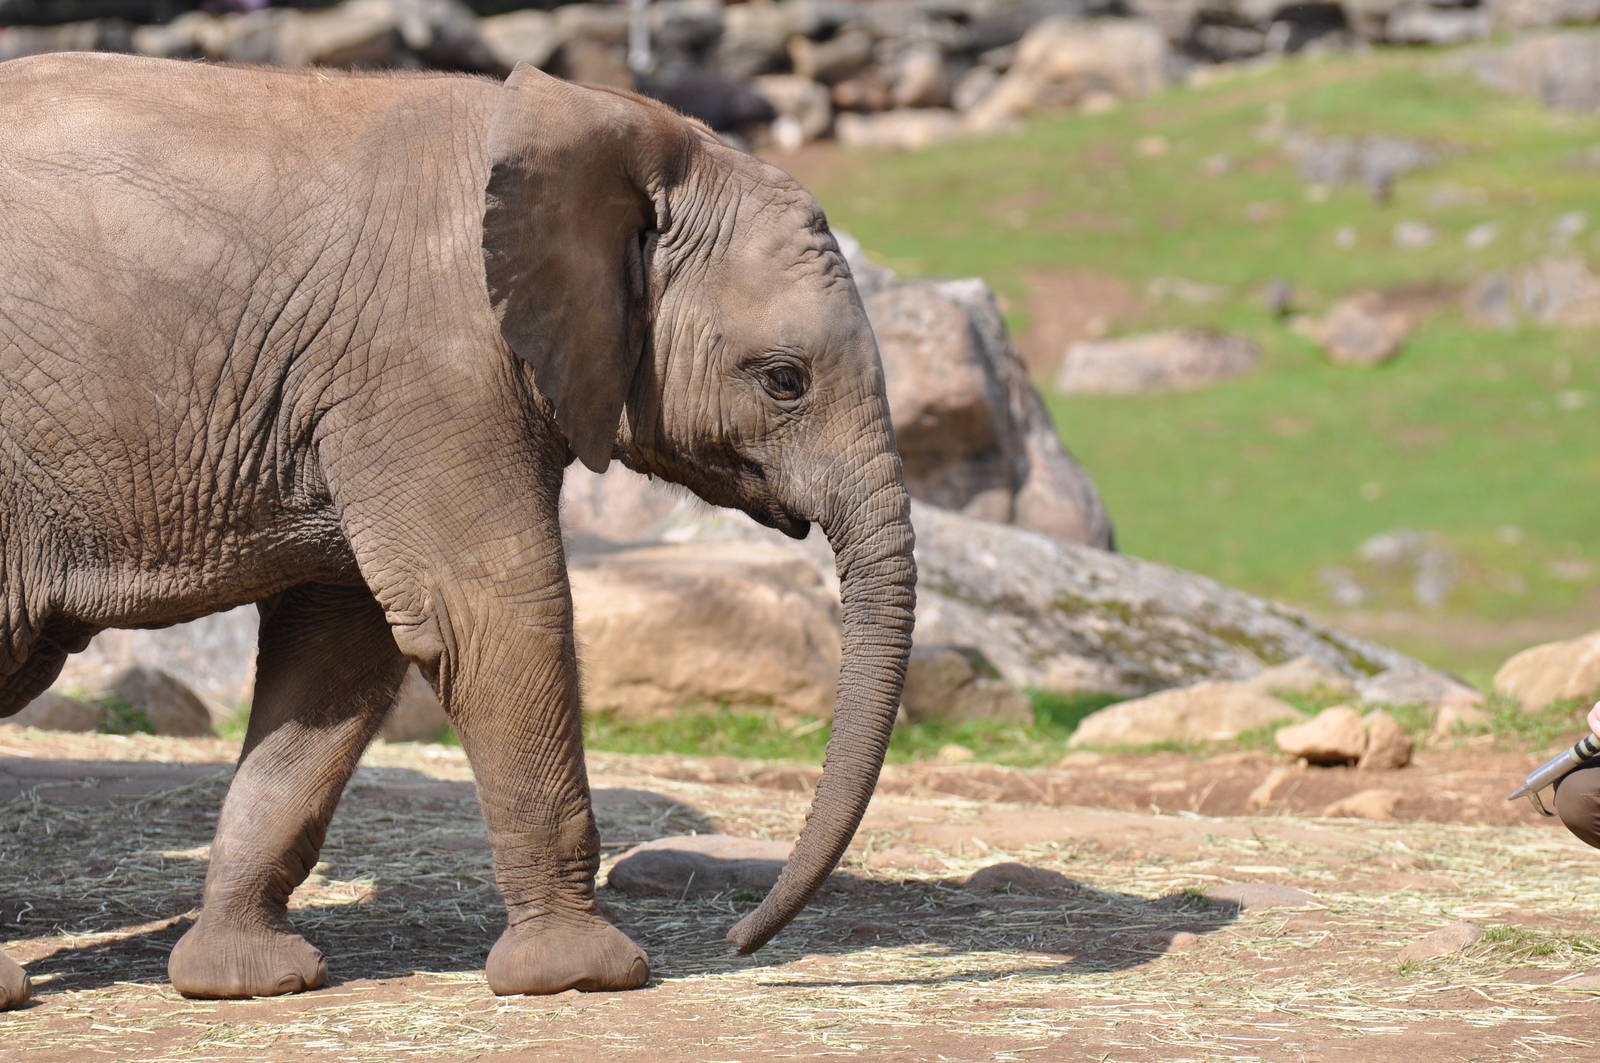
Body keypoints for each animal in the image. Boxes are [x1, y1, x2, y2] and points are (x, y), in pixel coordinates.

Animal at [0, 52, 915, 1007]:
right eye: (784, 380)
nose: (739, 939)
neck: (605, 123)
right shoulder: (427, 363)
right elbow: (492, 612)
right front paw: (584, 975)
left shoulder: (355, 391)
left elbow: (340, 651)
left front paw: (250, 981)